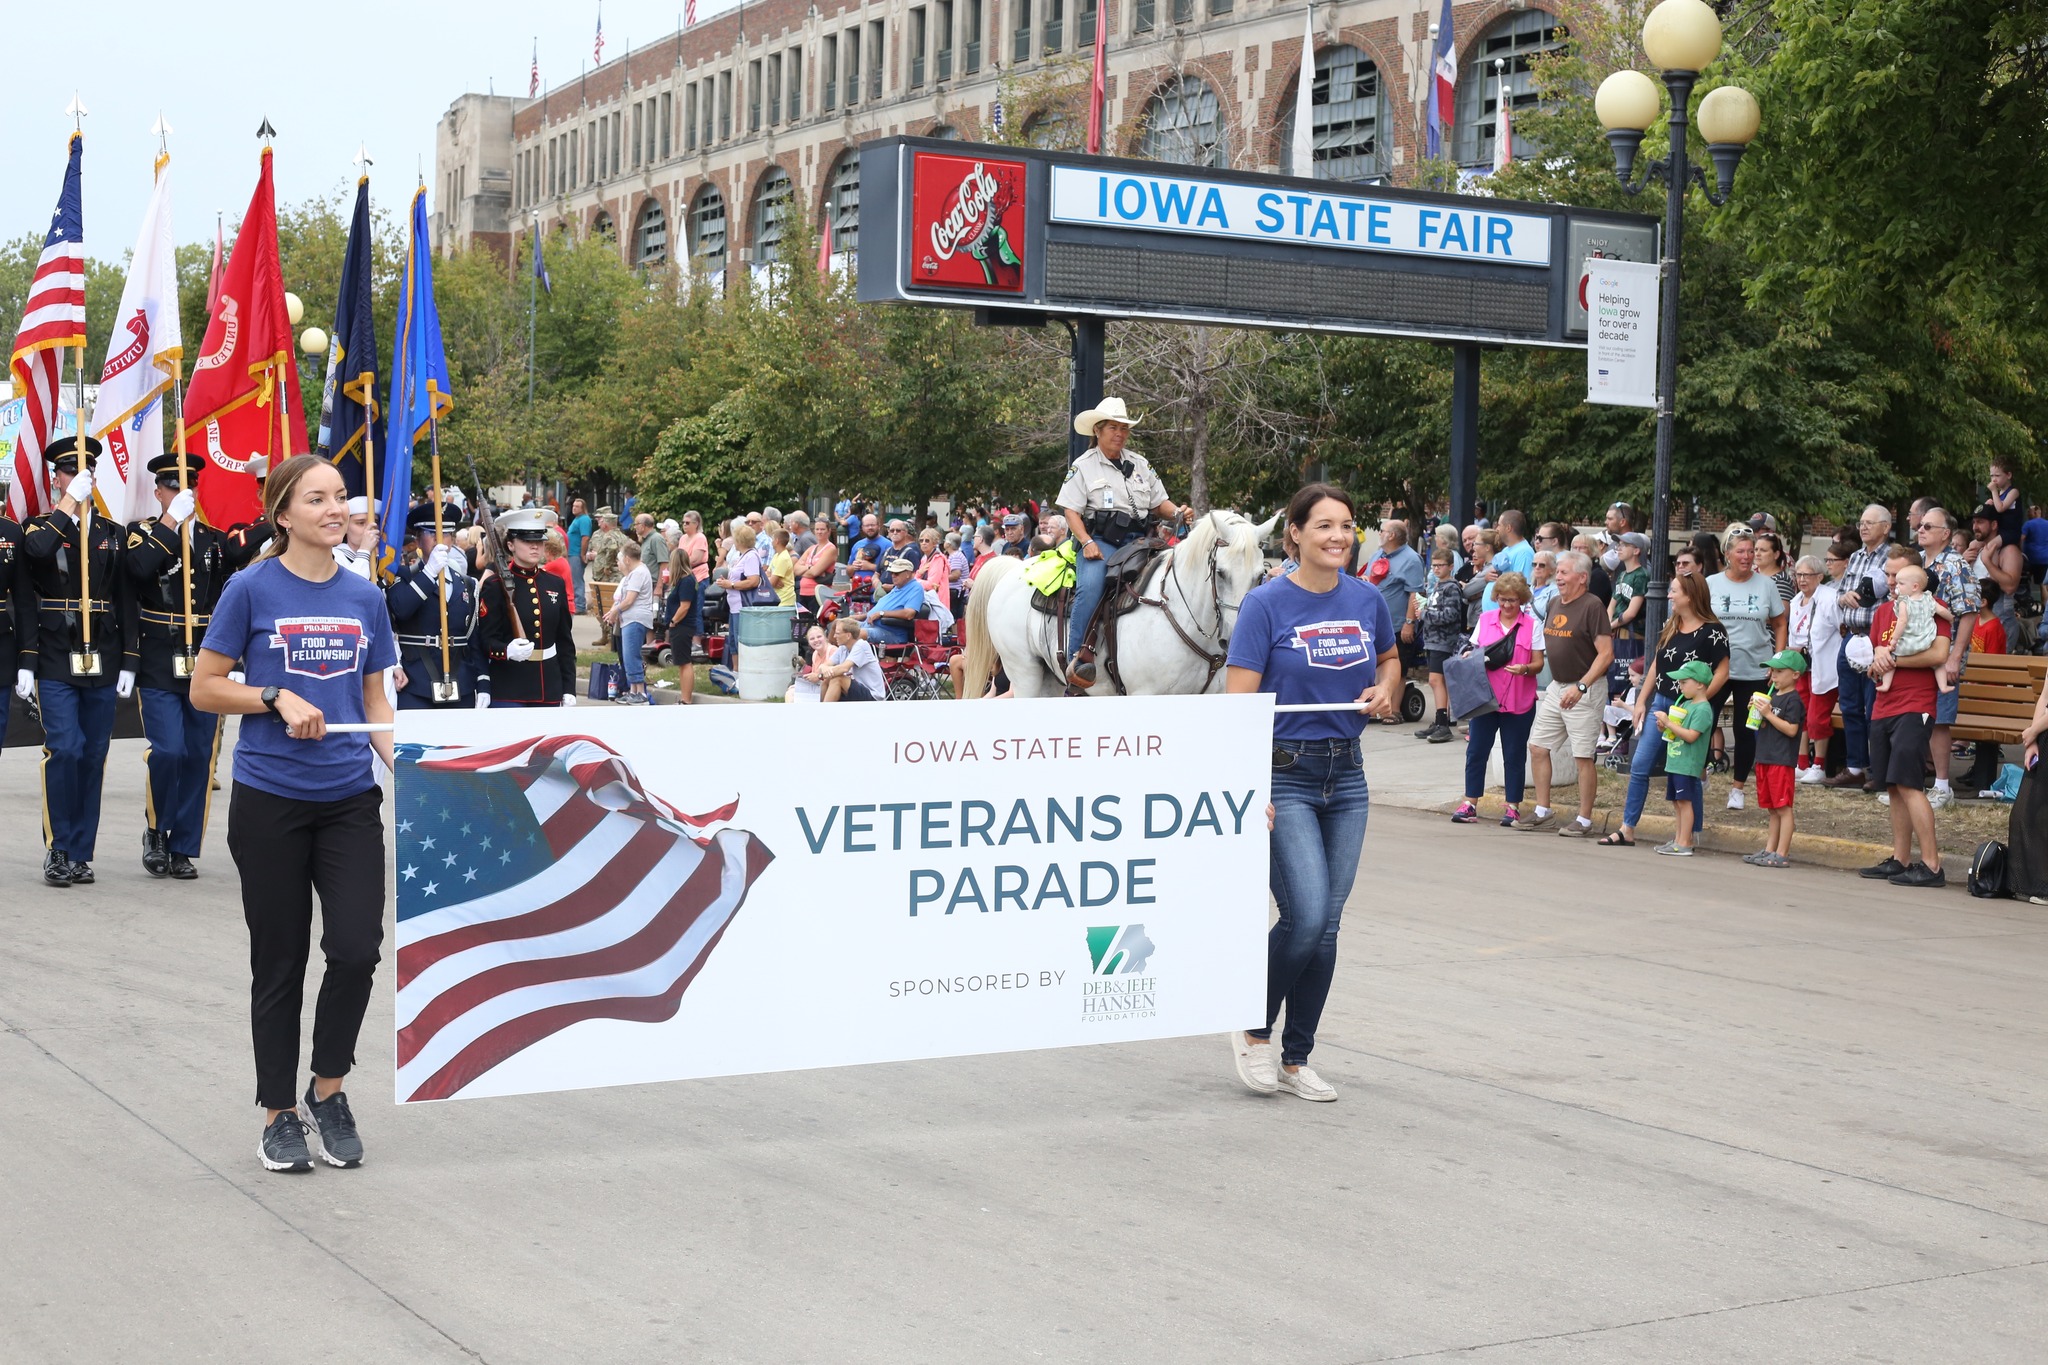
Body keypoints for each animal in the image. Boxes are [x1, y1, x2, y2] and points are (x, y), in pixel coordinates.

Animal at [958, 511, 1277, 703]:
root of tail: (1013, 569)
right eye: (1220, 573)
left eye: (1260, 575)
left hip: (1049, 679)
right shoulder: (1145, 694)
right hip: (1024, 673)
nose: (1233, 640)